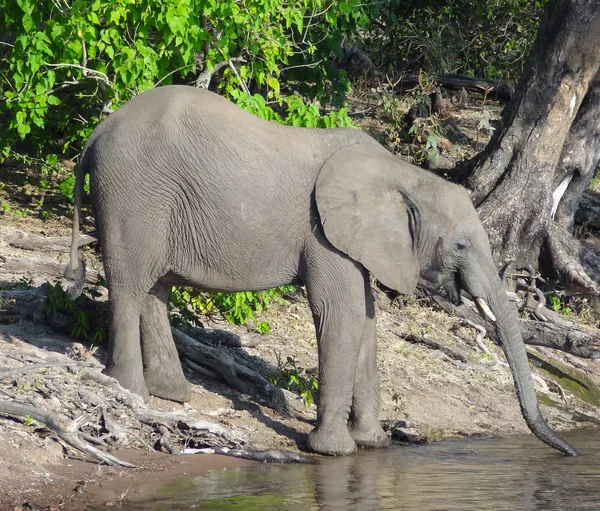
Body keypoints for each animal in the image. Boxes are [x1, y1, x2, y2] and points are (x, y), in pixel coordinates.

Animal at [68, 86, 580, 458]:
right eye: (459, 245)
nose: (570, 453)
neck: (404, 173)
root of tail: (96, 132)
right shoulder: (325, 234)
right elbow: (343, 313)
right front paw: (334, 452)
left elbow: (367, 321)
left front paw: (373, 444)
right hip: (133, 192)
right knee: (130, 284)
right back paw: (129, 389)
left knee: (155, 288)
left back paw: (174, 395)